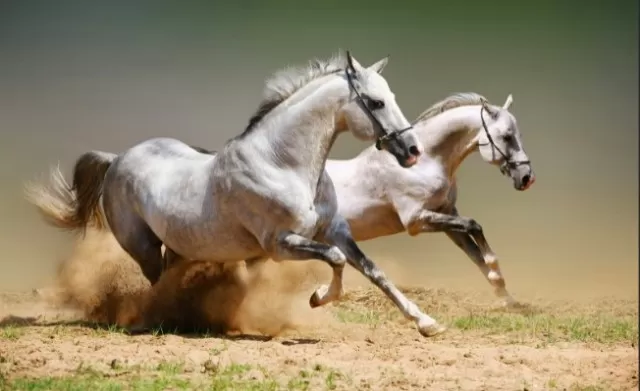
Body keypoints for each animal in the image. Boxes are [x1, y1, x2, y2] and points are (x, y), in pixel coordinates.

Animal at [26, 53, 450, 338]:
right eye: (376, 102)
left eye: (390, 96)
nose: (412, 150)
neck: (282, 164)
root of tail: (116, 159)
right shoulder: (280, 245)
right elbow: (336, 260)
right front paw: (317, 298)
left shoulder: (335, 231)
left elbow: (372, 271)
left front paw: (427, 323)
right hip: (142, 247)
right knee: (156, 283)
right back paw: (160, 320)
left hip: (179, 246)